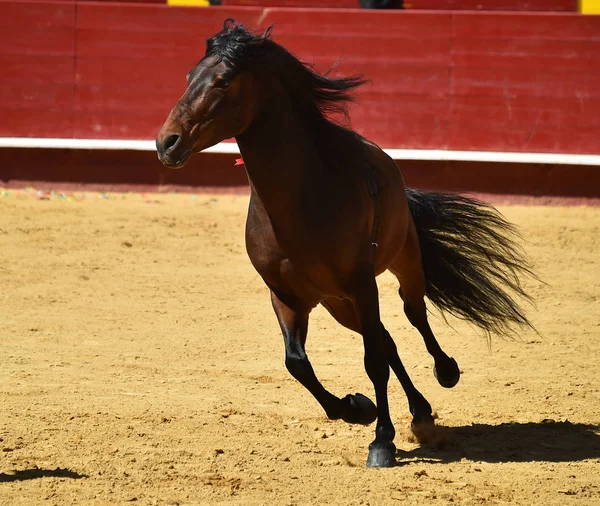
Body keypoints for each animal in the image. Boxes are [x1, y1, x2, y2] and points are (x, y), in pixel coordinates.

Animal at [156, 20, 536, 470]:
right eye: (187, 77)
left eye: (223, 81)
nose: (166, 143)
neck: (299, 202)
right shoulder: (286, 296)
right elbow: (297, 364)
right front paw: (356, 407)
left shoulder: (360, 283)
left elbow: (373, 362)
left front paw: (382, 441)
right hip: (339, 304)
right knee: (386, 338)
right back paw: (420, 413)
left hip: (401, 262)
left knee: (412, 314)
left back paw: (445, 373)